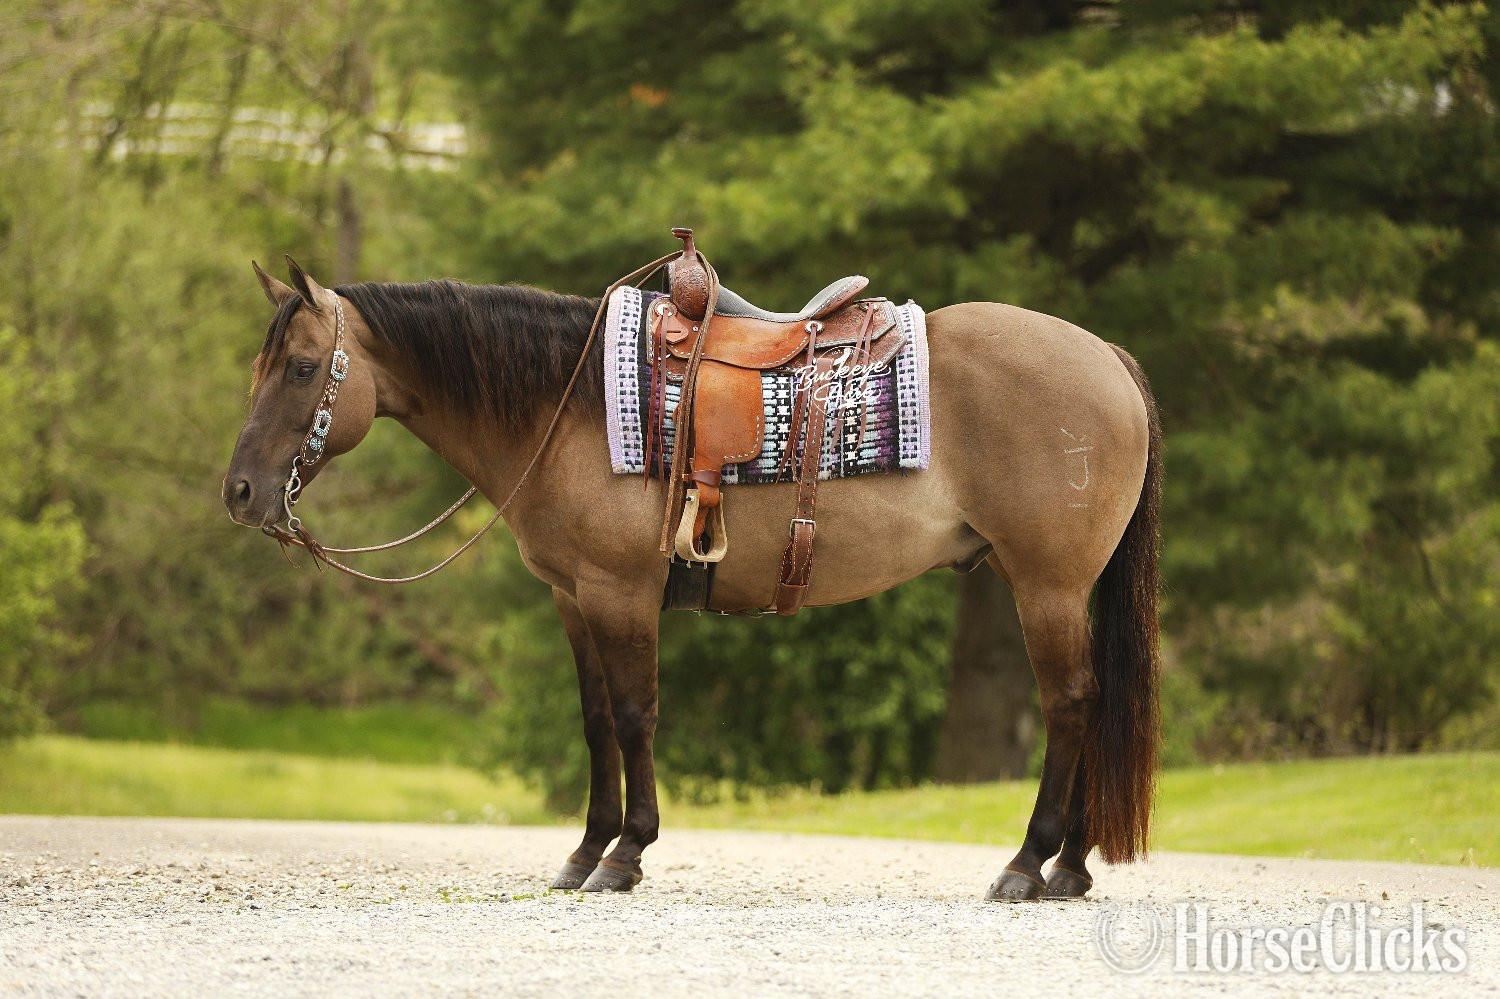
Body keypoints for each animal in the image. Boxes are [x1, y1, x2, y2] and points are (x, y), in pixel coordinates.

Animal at [223, 256, 1161, 901]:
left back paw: (1028, 862)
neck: (568, 405)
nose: (239, 493)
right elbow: (597, 720)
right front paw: (585, 849)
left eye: (301, 368)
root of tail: (1108, 356)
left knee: (1071, 703)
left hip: (1046, 584)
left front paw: (627, 853)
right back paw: (1071, 867)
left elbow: (635, 714)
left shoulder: (621, 592)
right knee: (1092, 700)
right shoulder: (573, 597)